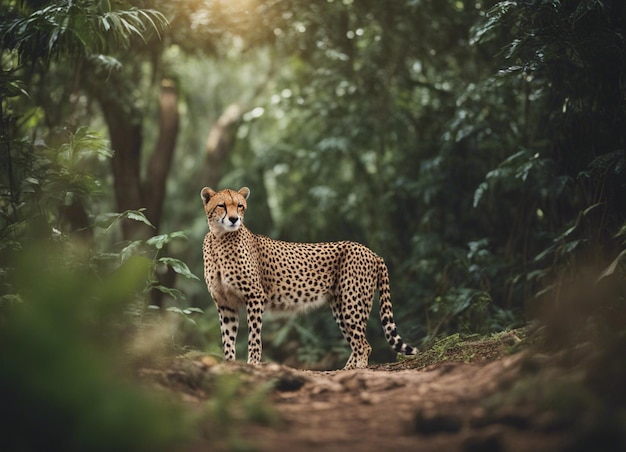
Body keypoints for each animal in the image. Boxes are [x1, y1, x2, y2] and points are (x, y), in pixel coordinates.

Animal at [200, 186, 414, 368]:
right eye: (221, 205)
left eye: (240, 206)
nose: (234, 219)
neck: (219, 238)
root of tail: (371, 252)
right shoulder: (225, 303)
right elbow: (228, 339)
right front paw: (229, 366)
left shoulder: (255, 296)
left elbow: (254, 336)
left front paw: (253, 364)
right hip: (340, 306)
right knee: (357, 343)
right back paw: (346, 369)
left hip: (352, 303)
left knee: (364, 345)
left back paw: (358, 370)